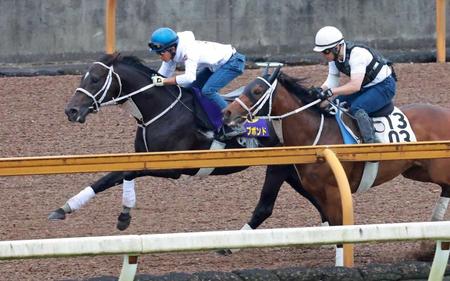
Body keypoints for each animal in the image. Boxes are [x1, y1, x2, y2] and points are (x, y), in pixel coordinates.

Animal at [47, 52, 326, 232]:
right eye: (82, 77)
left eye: (95, 79)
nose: (71, 110)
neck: (159, 112)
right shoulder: (144, 157)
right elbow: (107, 178)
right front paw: (65, 208)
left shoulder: (173, 168)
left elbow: (126, 173)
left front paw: (124, 214)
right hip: (292, 169)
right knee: (316, 198)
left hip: (282, 166)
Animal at [223, 66, 450, 255]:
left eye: (257, 90)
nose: (227, 112)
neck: (316, 134)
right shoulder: (318, 191)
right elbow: (332, 224)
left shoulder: (333, 191)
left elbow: (340, 226)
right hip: (415, 170)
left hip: (436, 168)